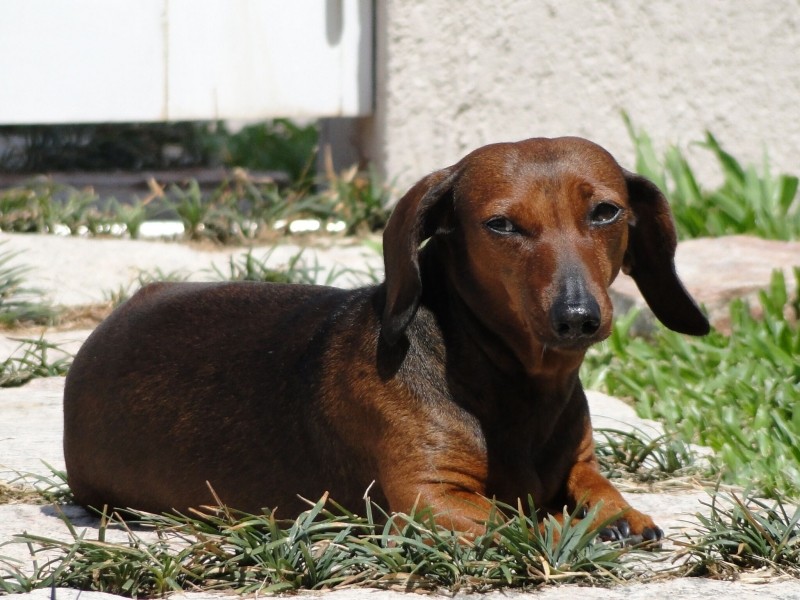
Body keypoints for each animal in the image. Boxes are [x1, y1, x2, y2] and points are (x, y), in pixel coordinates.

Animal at [65, 136, 708, 540]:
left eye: (606, 212)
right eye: (500, 224)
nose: (577, 316)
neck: (510, 381)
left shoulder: (579, 463)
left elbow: (597, 486)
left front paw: (618, 515)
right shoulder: (430, 499)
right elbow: (515, 519)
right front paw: (563, 526)